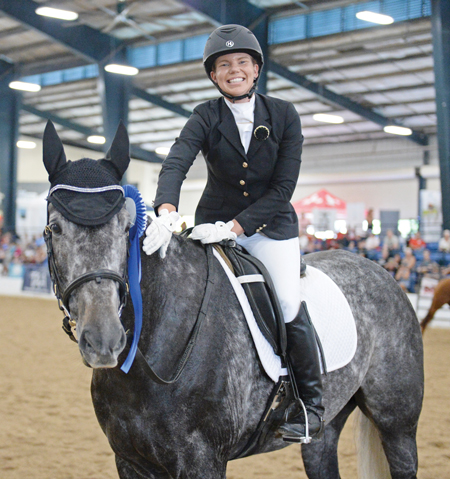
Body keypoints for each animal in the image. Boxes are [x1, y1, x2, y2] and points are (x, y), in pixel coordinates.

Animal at [42, 124, 422, 479]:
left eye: (125, 229)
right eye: (54, 229)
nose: (104, 341)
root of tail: (381, 272)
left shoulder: (202, 460)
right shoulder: (129, 460)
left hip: (397, 426)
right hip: (325, 432)